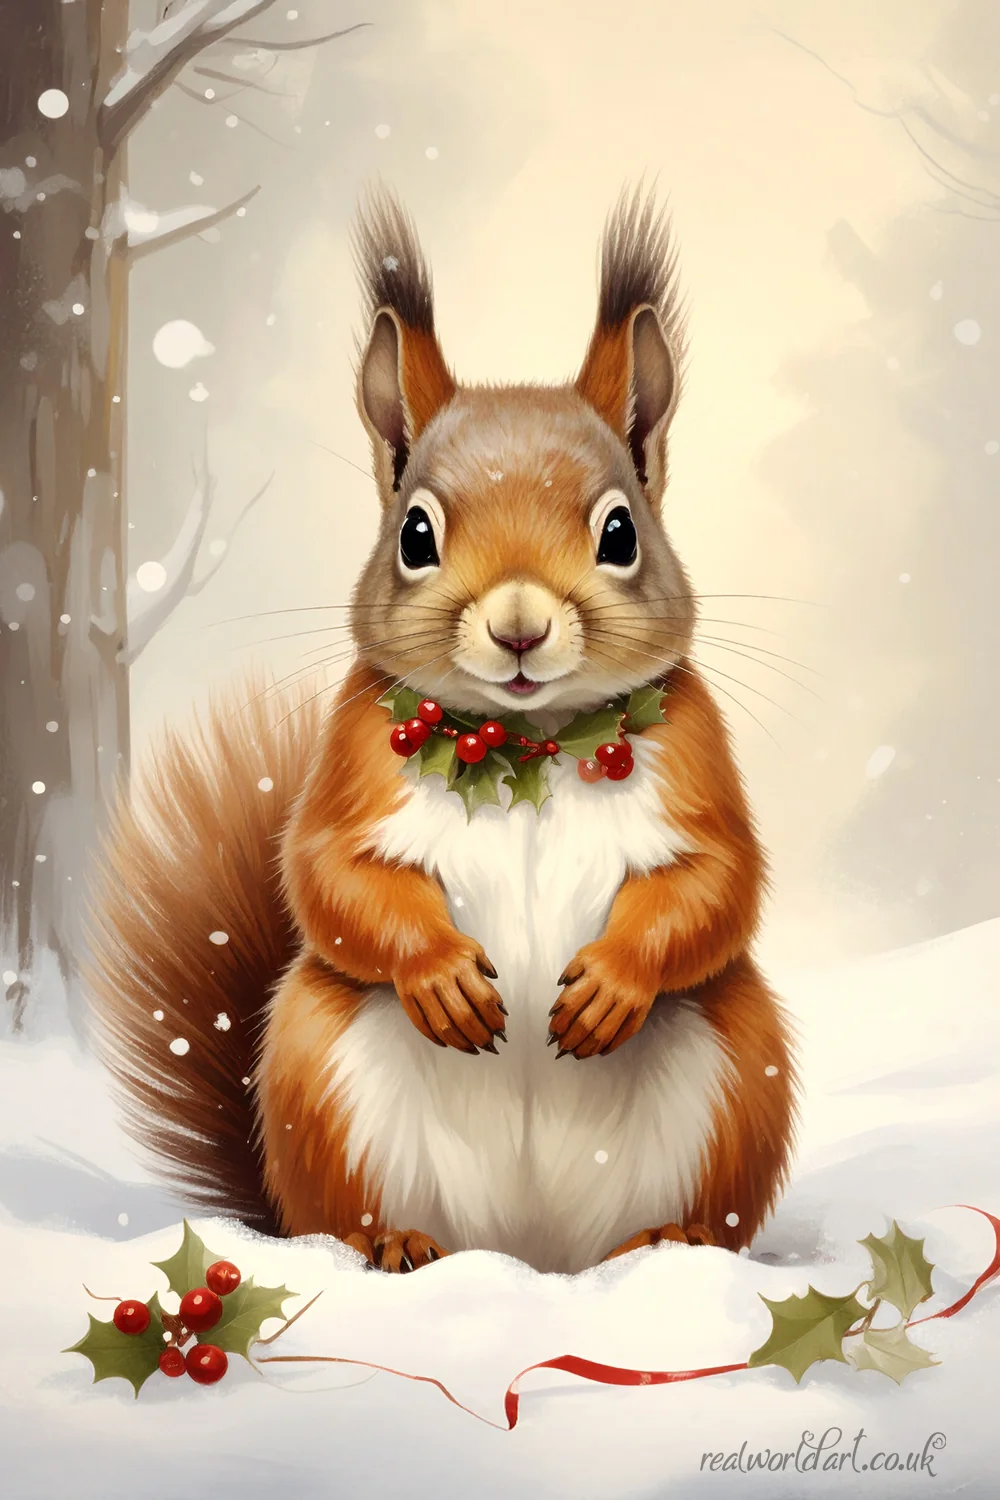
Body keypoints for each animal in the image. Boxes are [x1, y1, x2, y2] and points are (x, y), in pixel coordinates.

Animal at [86, 187, 797, 1276]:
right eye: (415, 534)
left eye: (620, 532)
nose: (518, 624)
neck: (528, 745)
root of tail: (530, 1253)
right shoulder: (348, 772)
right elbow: (327, 875)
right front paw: (442, 977)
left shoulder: (697, 763)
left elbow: (719, 885)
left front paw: (609, 985)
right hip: (322, 1070)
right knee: (339, 1211)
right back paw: (388, 1244)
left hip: (734, 1069)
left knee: (706, 1205)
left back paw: (668, 1242)